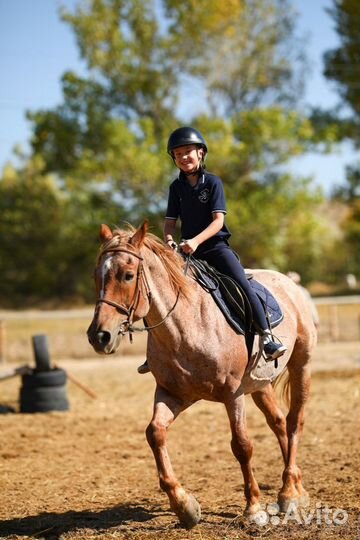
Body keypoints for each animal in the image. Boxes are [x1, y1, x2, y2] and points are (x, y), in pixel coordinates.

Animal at [88, 221, 318, 528]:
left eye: (127, 275)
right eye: (96, 276)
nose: (99, 336)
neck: (186, 325)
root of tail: (289, 283)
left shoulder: (233, 394)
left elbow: (242, 446)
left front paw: (253, 508)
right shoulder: (173, 394)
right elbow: (155, 433)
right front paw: (184, 505)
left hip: (300, 366)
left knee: (294, 422)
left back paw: (290, 494)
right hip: (259, 384)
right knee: (279, 422)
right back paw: (294, 489)